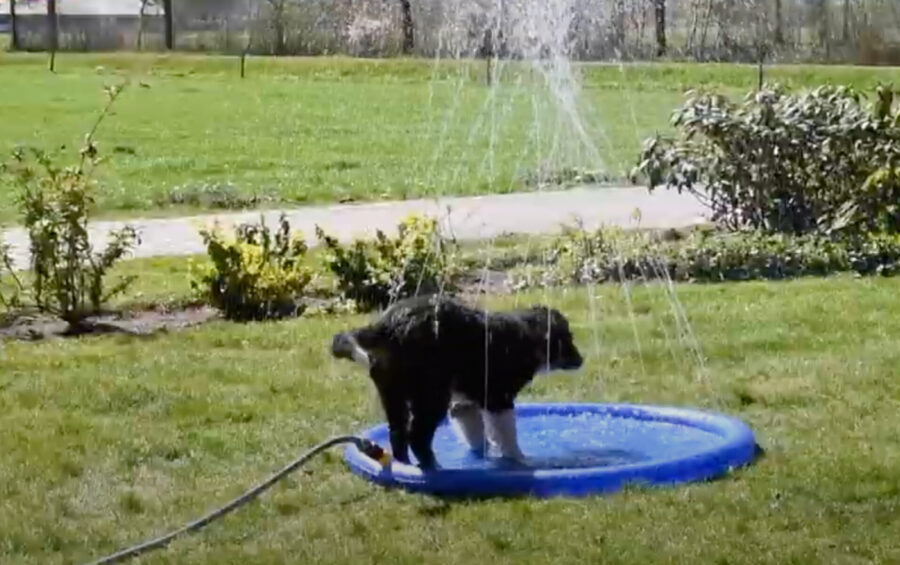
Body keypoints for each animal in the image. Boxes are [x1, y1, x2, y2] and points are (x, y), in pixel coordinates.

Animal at [331, 294, 583, 469]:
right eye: (567, 339)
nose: (582, 360)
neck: (525, 336)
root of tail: (385, 327)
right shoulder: (498, 398)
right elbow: (507, 435)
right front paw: (520, 460)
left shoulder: (465, 402)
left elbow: (479, 435)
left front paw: (486, 455)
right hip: (431, 394)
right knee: (417, 435)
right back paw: (433, 467)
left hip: (393, 393)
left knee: (398, 433)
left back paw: (405, 466)